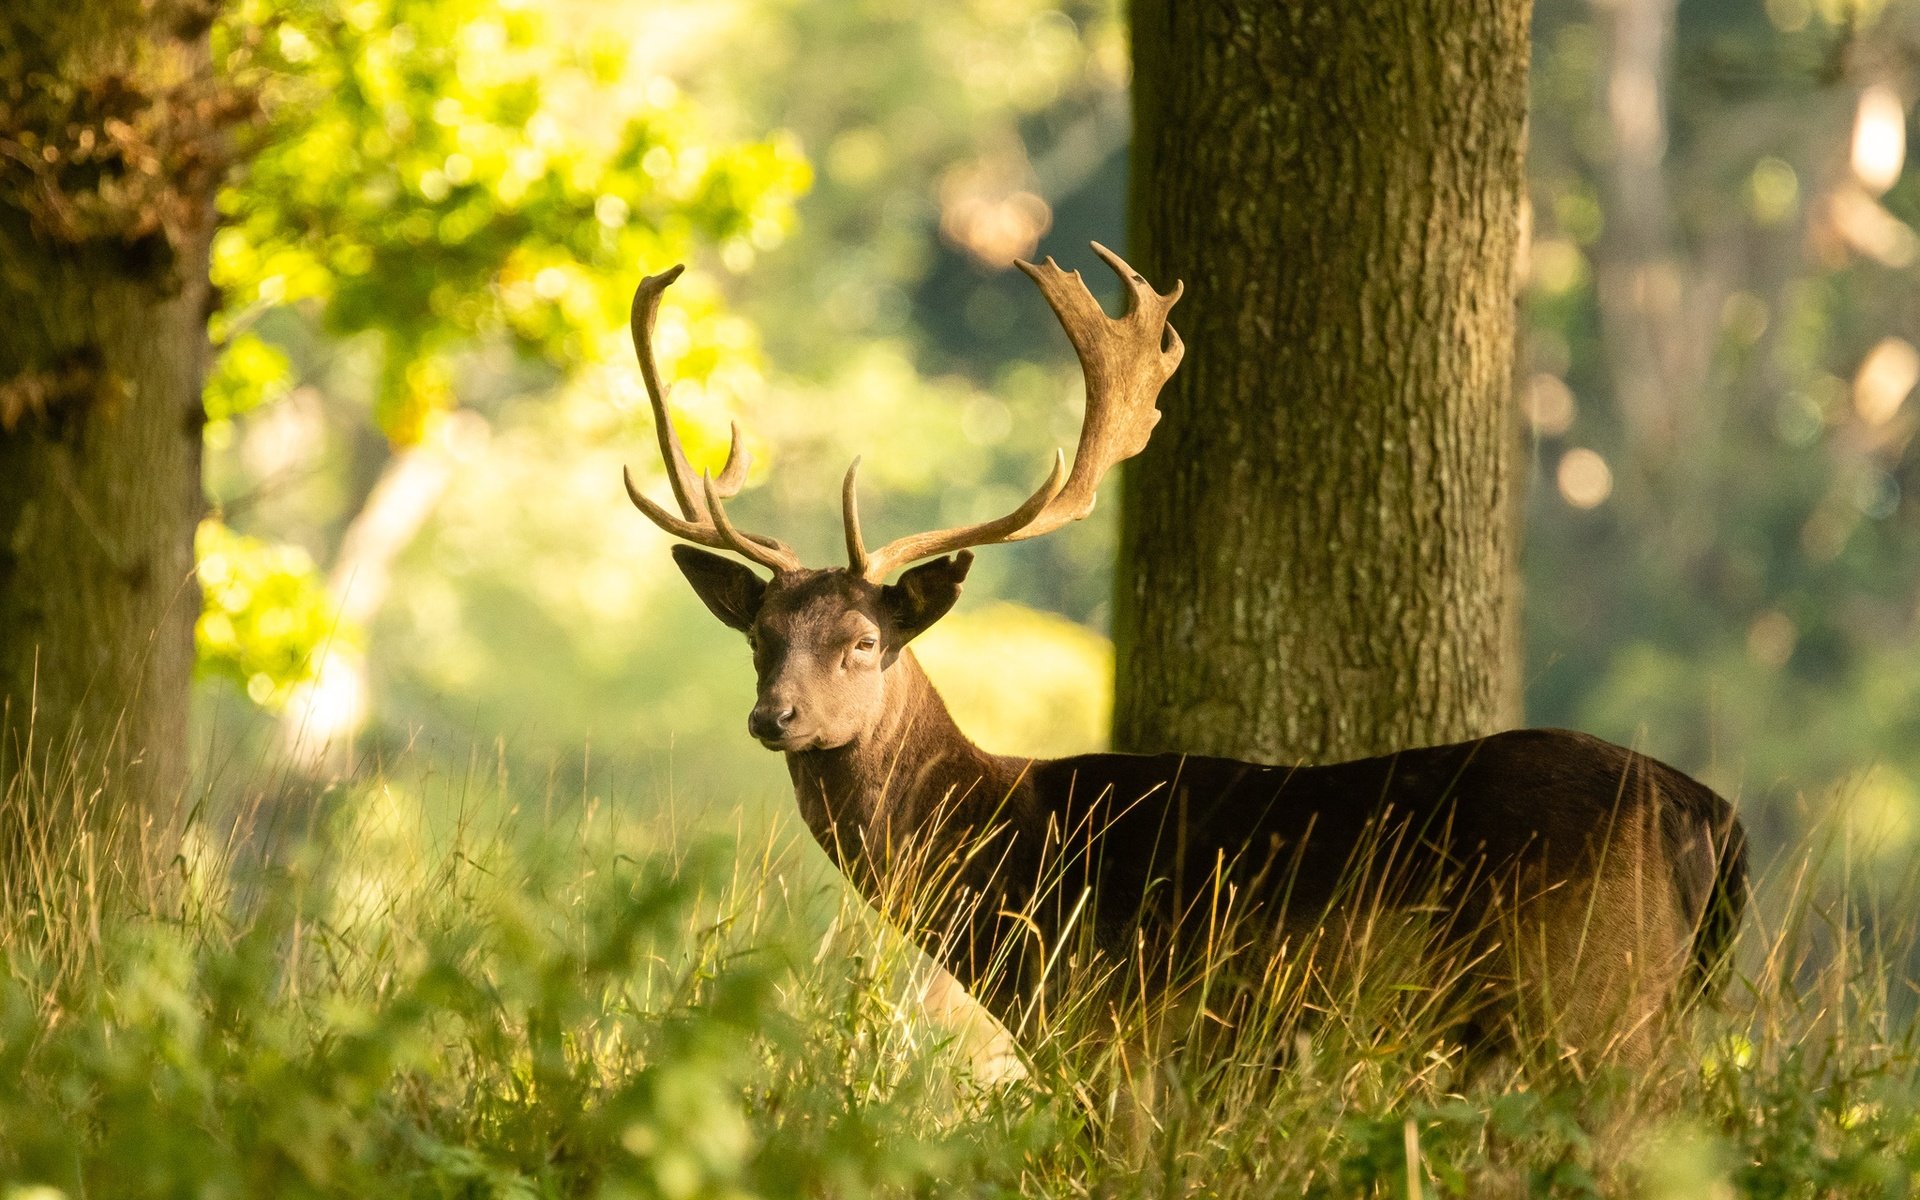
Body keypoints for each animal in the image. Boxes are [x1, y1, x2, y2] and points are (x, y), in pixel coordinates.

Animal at [622, 243, 1751, 1067]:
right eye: (760, 637)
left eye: (864, 641)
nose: (776, 716)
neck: (1011, 874)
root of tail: (1709, 813)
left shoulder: (1117, 1029)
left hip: (1594, 994)